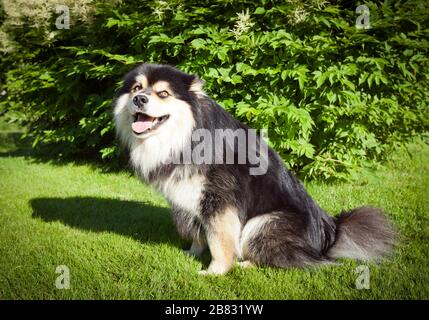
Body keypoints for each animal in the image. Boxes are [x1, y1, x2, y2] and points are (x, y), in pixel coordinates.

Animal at [111, 63, 394, 276]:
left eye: (163, 94)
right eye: (136, 88)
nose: (139, 99)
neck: (185, 137)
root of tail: (329, 236)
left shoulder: (220, 201)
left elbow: (219, 240)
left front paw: (215, 271)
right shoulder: (190, 199)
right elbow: (199, 234)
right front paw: (190, 253)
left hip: (263, 222)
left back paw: (247, 264)